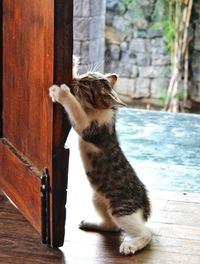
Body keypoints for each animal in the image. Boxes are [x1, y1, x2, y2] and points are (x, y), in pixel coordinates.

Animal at [49, 56, 151, 255]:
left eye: (86, 84)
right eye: (84, 76)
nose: (76, 80)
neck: (100, 110)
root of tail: (144, 201)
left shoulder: (87, 127)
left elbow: (74, 107)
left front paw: (62, 93)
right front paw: (73, 64)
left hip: (121, 210)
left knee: (144, 233)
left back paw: (131, 245)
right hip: (98, 198)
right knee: (112, 226)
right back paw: (91, 223)